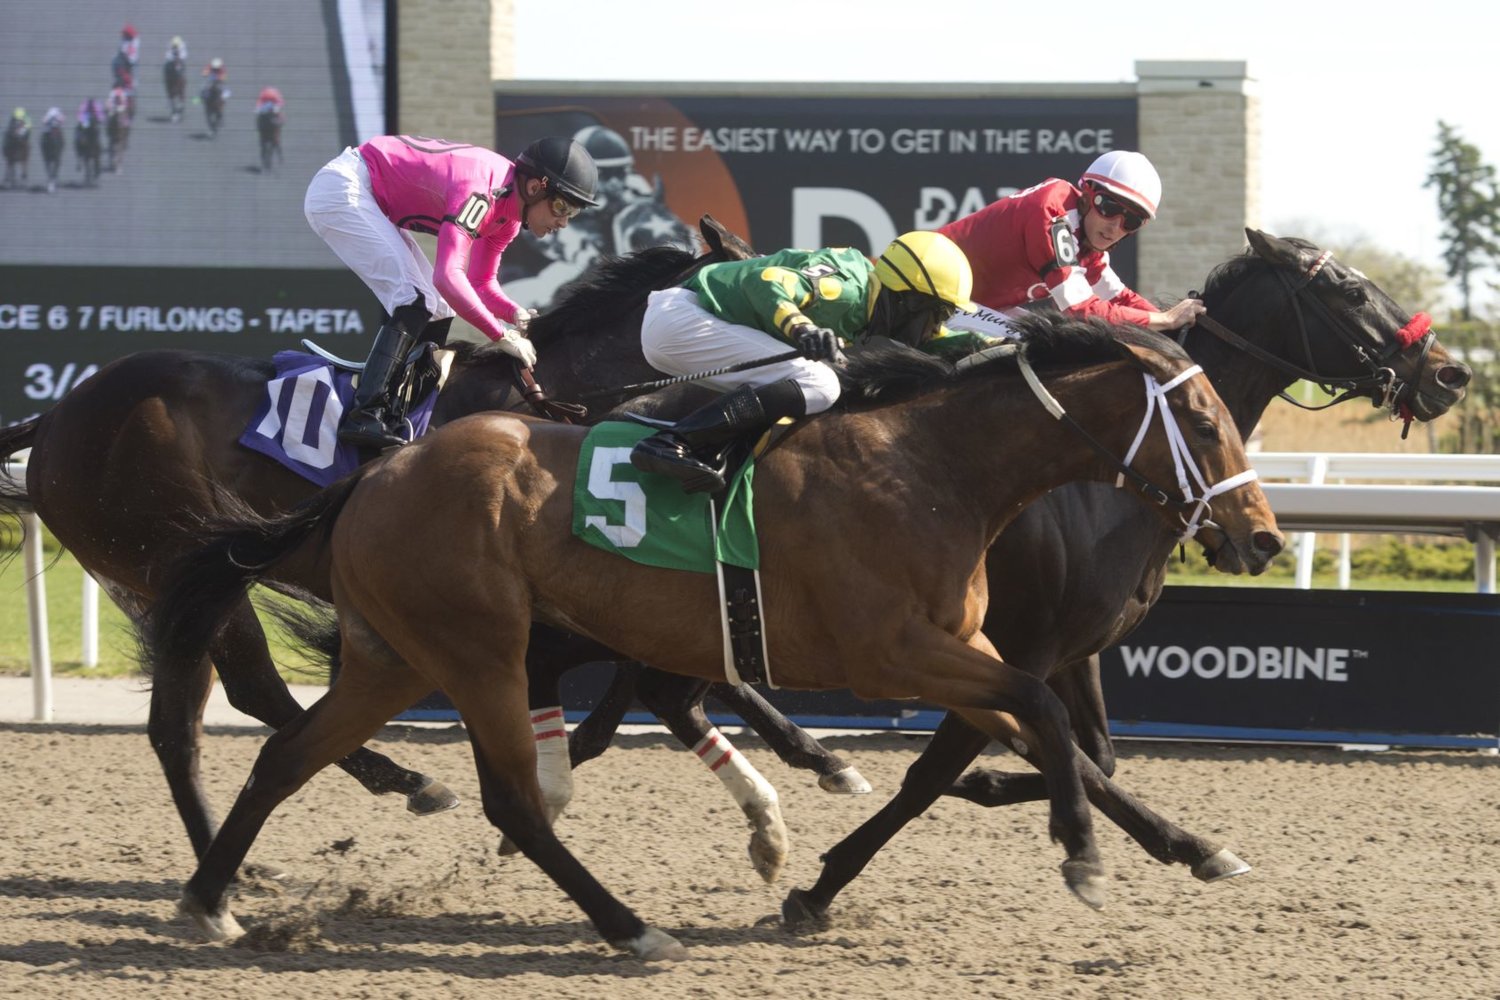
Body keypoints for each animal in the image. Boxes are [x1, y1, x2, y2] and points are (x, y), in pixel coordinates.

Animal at [146, 320, 1284, 959]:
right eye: (1203, 419)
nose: (1262, 536)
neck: (931, 469)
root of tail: (377, 469)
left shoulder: (965, 654)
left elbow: (1042, 745)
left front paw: (1188, 847)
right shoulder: (892, 650)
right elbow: (1041, 718)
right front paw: (1082, 859)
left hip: (398, 656)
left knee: (290, 755)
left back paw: (210, 900)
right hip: (477, 649)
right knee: (512, 797)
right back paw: (626, 925)